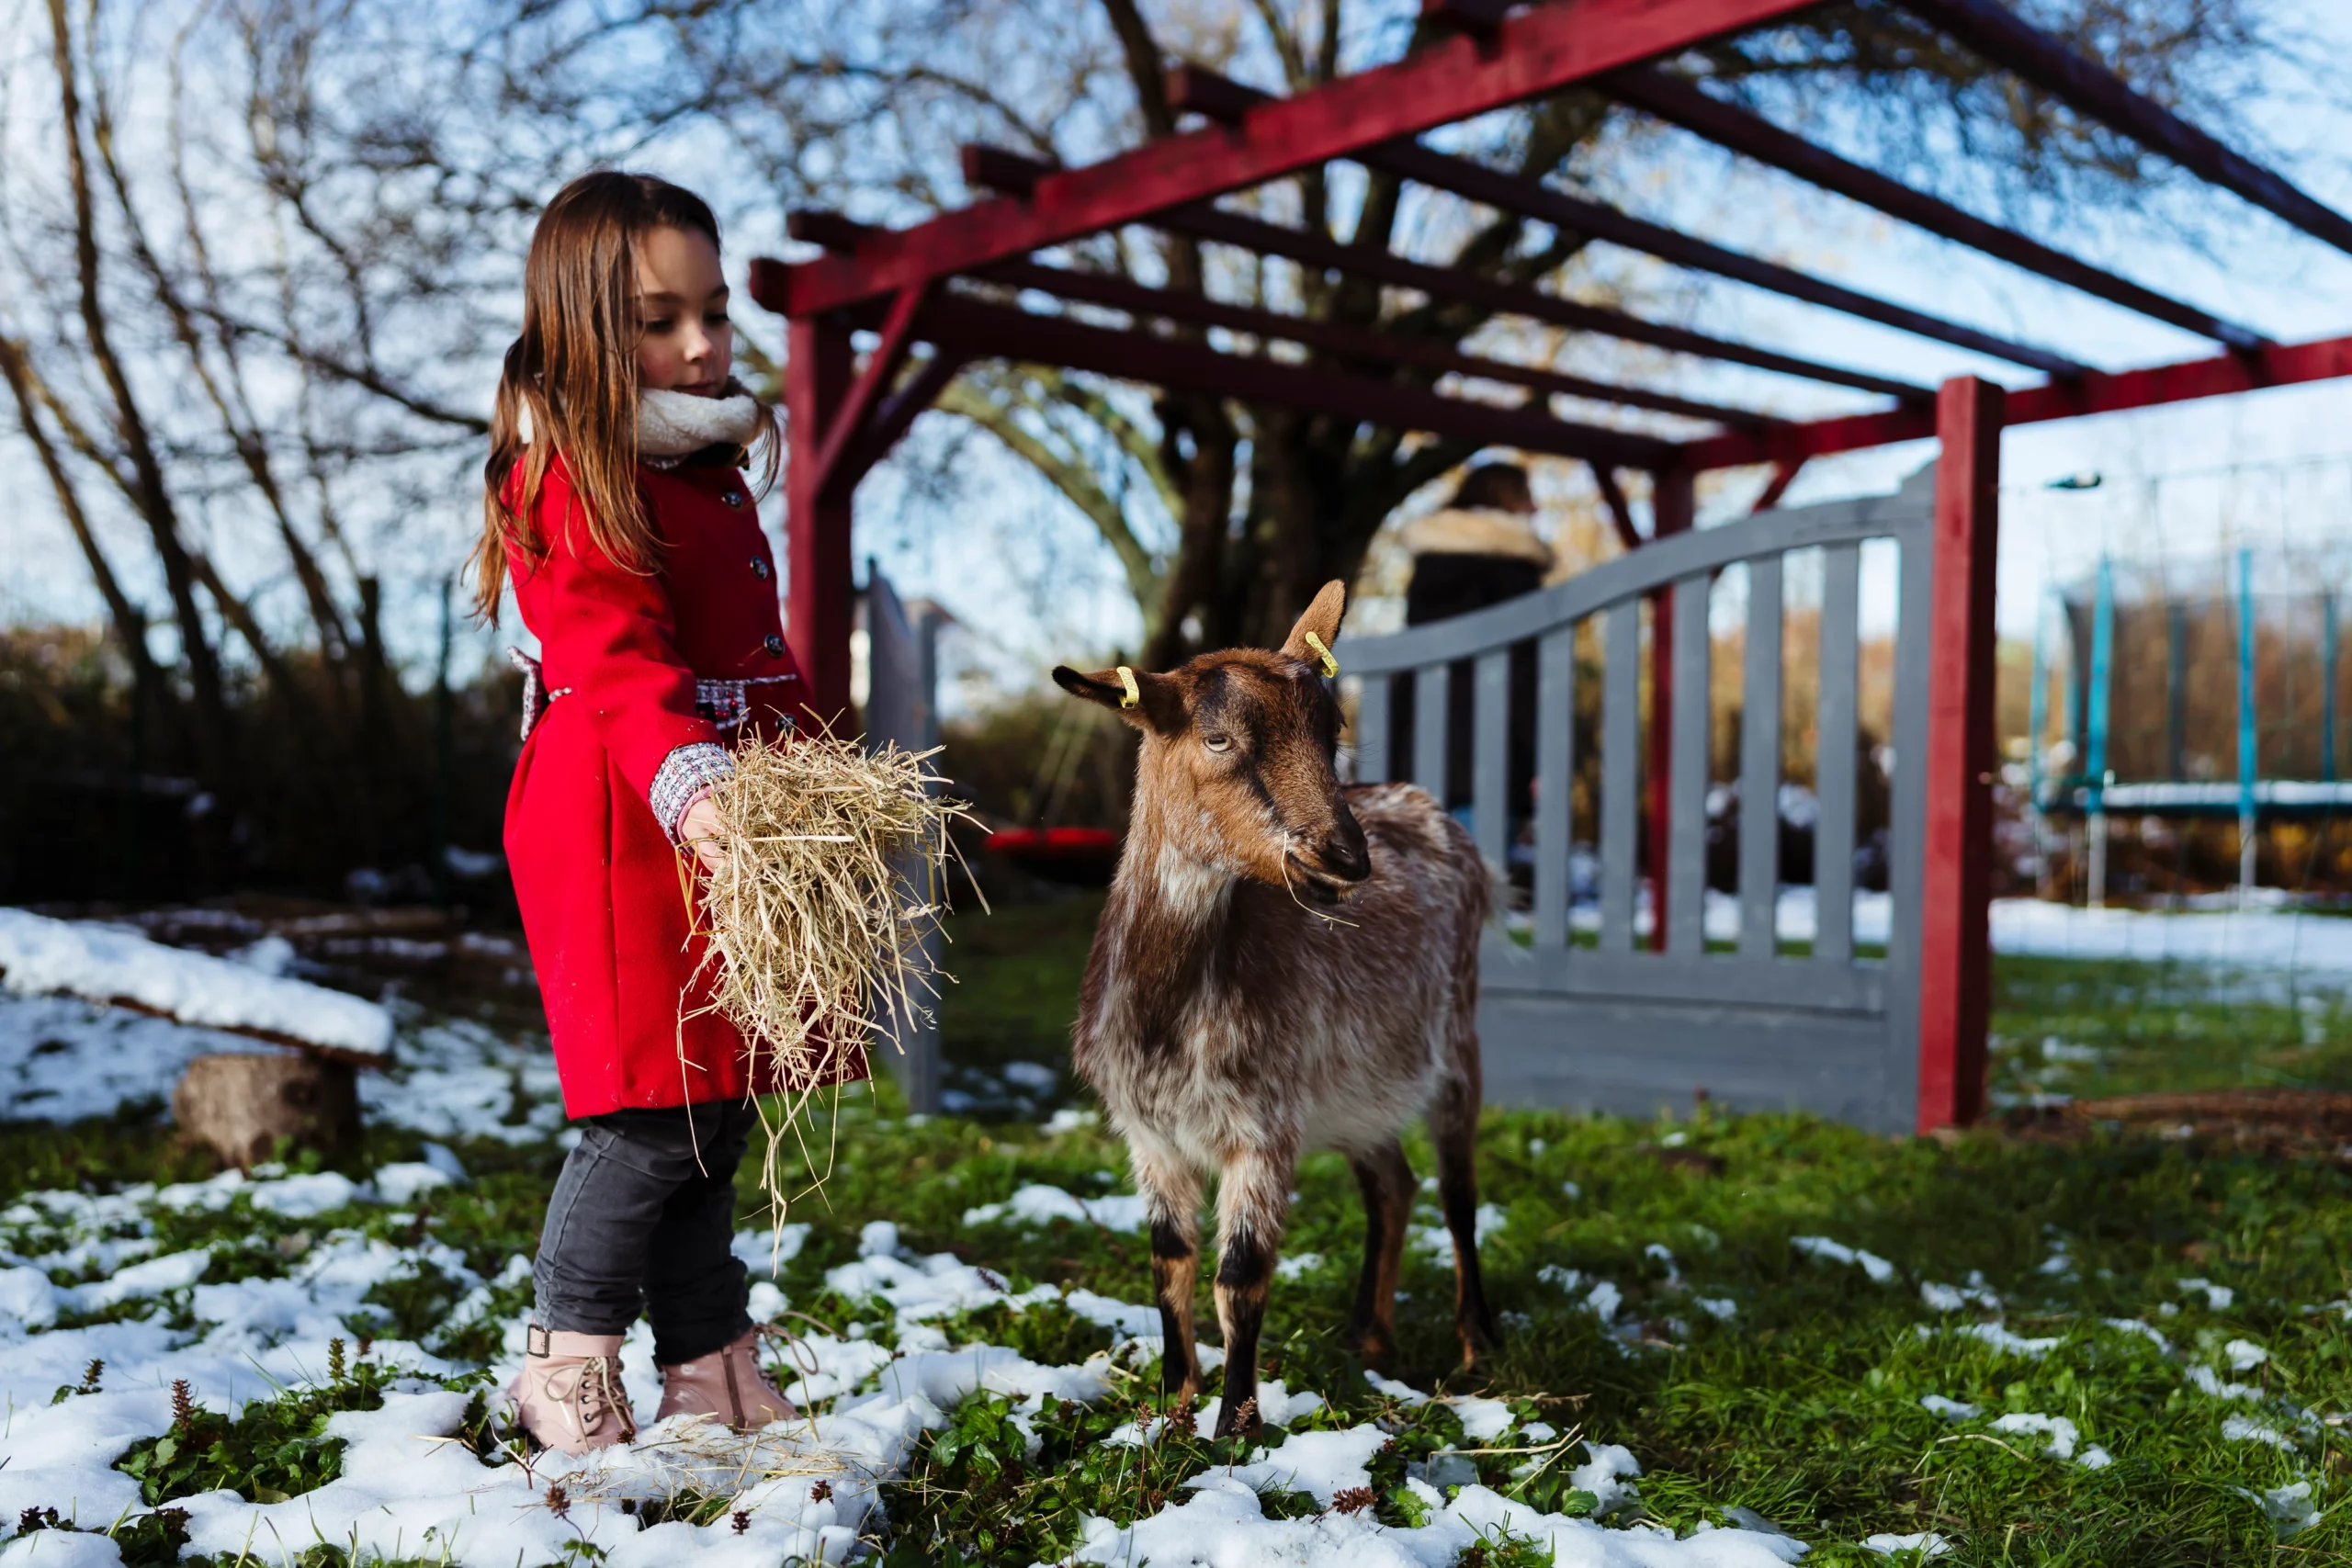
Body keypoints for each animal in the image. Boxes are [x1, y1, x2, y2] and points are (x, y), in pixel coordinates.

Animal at [1052, 580, 1493, 1439]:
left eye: (1333, 730)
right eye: (1218, 737)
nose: (1344, 857)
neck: (1167, 1018)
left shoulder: (1264, 1126)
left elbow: (1241, 1275)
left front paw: (1236, 1428)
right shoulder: (1148, 1132)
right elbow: (1170, 1262)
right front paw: (1172, 1407)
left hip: (1458, 1042)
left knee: (1458, 1193)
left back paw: (1477, 1345)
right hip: (1362, 1091)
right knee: (1393, 1184)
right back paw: (1367, 1334)